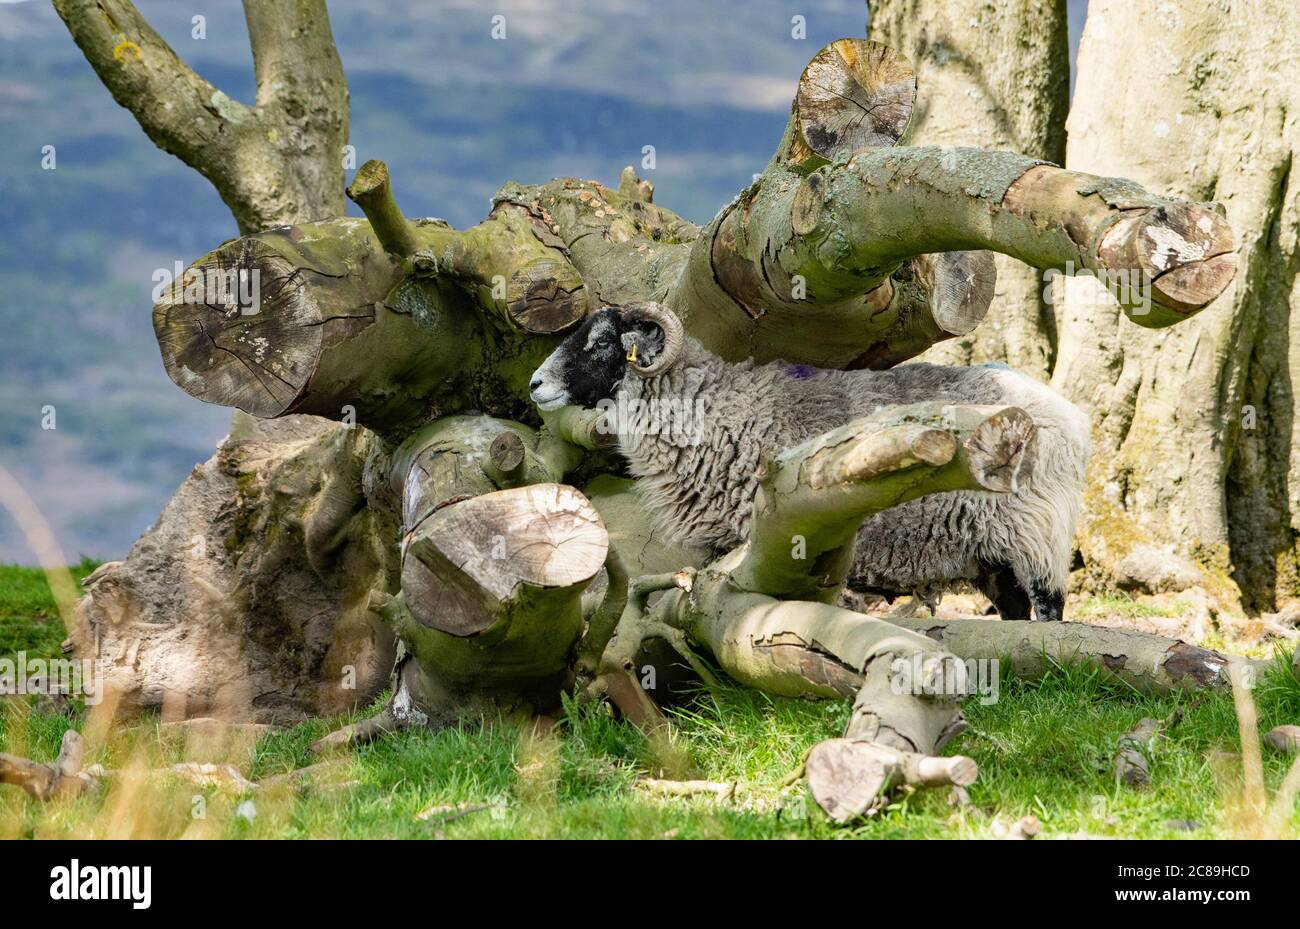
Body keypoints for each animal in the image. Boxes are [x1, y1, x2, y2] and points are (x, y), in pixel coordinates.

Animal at [525, 301, 1086, 621]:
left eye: (602, 343)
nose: (533, 384)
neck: (715, 409)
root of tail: (1067, 413)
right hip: (993, 552)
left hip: (1038, 533)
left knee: (1049, 608)